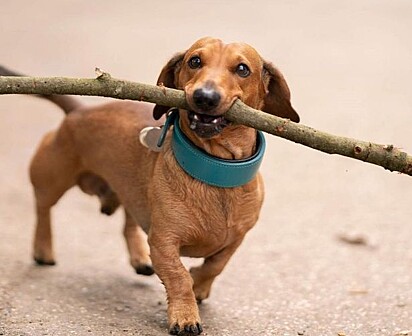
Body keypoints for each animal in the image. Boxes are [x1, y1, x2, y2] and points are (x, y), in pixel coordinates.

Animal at [0, 38, 296, 334]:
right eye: (195, 61)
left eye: (243, 69)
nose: (204, 96)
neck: (215, 171)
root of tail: (79, 110)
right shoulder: (163, 242)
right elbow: (178, 276)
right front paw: (185, 314)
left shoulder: (237, 238)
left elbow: (216, 264)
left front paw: (199, 285)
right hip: (51, 176)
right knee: (43, 208)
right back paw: (43, 249)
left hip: (131, 192)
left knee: (128, 223)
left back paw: (139, 258)